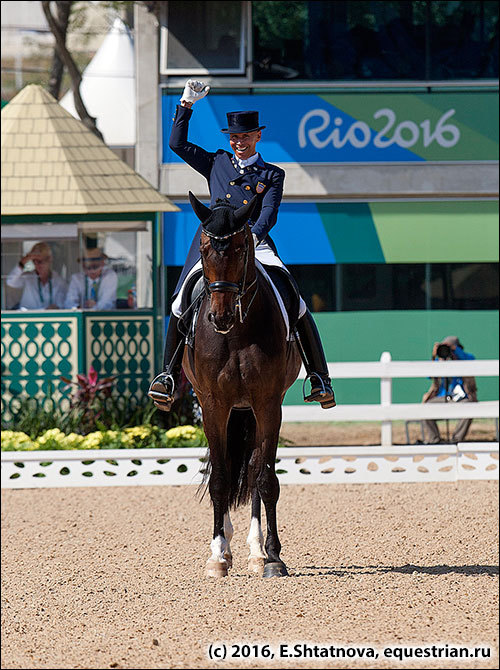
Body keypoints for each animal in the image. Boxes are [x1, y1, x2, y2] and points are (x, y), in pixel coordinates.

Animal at [183, 192, 302, 580]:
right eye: (204, 248)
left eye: (239, 247)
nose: (219, 316)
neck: (235, 333)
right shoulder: (213, 404)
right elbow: (219, 478)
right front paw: (218, 555)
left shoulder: (268, 403)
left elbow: (264, 478)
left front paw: (273, 557)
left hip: (250, 409)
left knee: (251, 470)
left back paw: (256, 551)